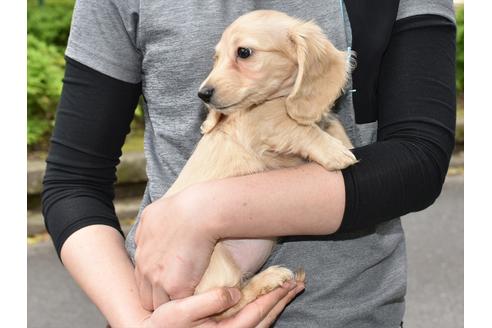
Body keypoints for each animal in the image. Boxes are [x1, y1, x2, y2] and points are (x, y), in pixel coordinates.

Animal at [162, 9, 358, 318]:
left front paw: (342, 143)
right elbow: (298, 128)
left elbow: (329, 125)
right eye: (217, 57)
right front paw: (333, 152)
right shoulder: (266, 125)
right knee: (226, 302)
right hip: (219, 265)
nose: (203, 94)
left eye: (243, 52)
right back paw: (268, 279)